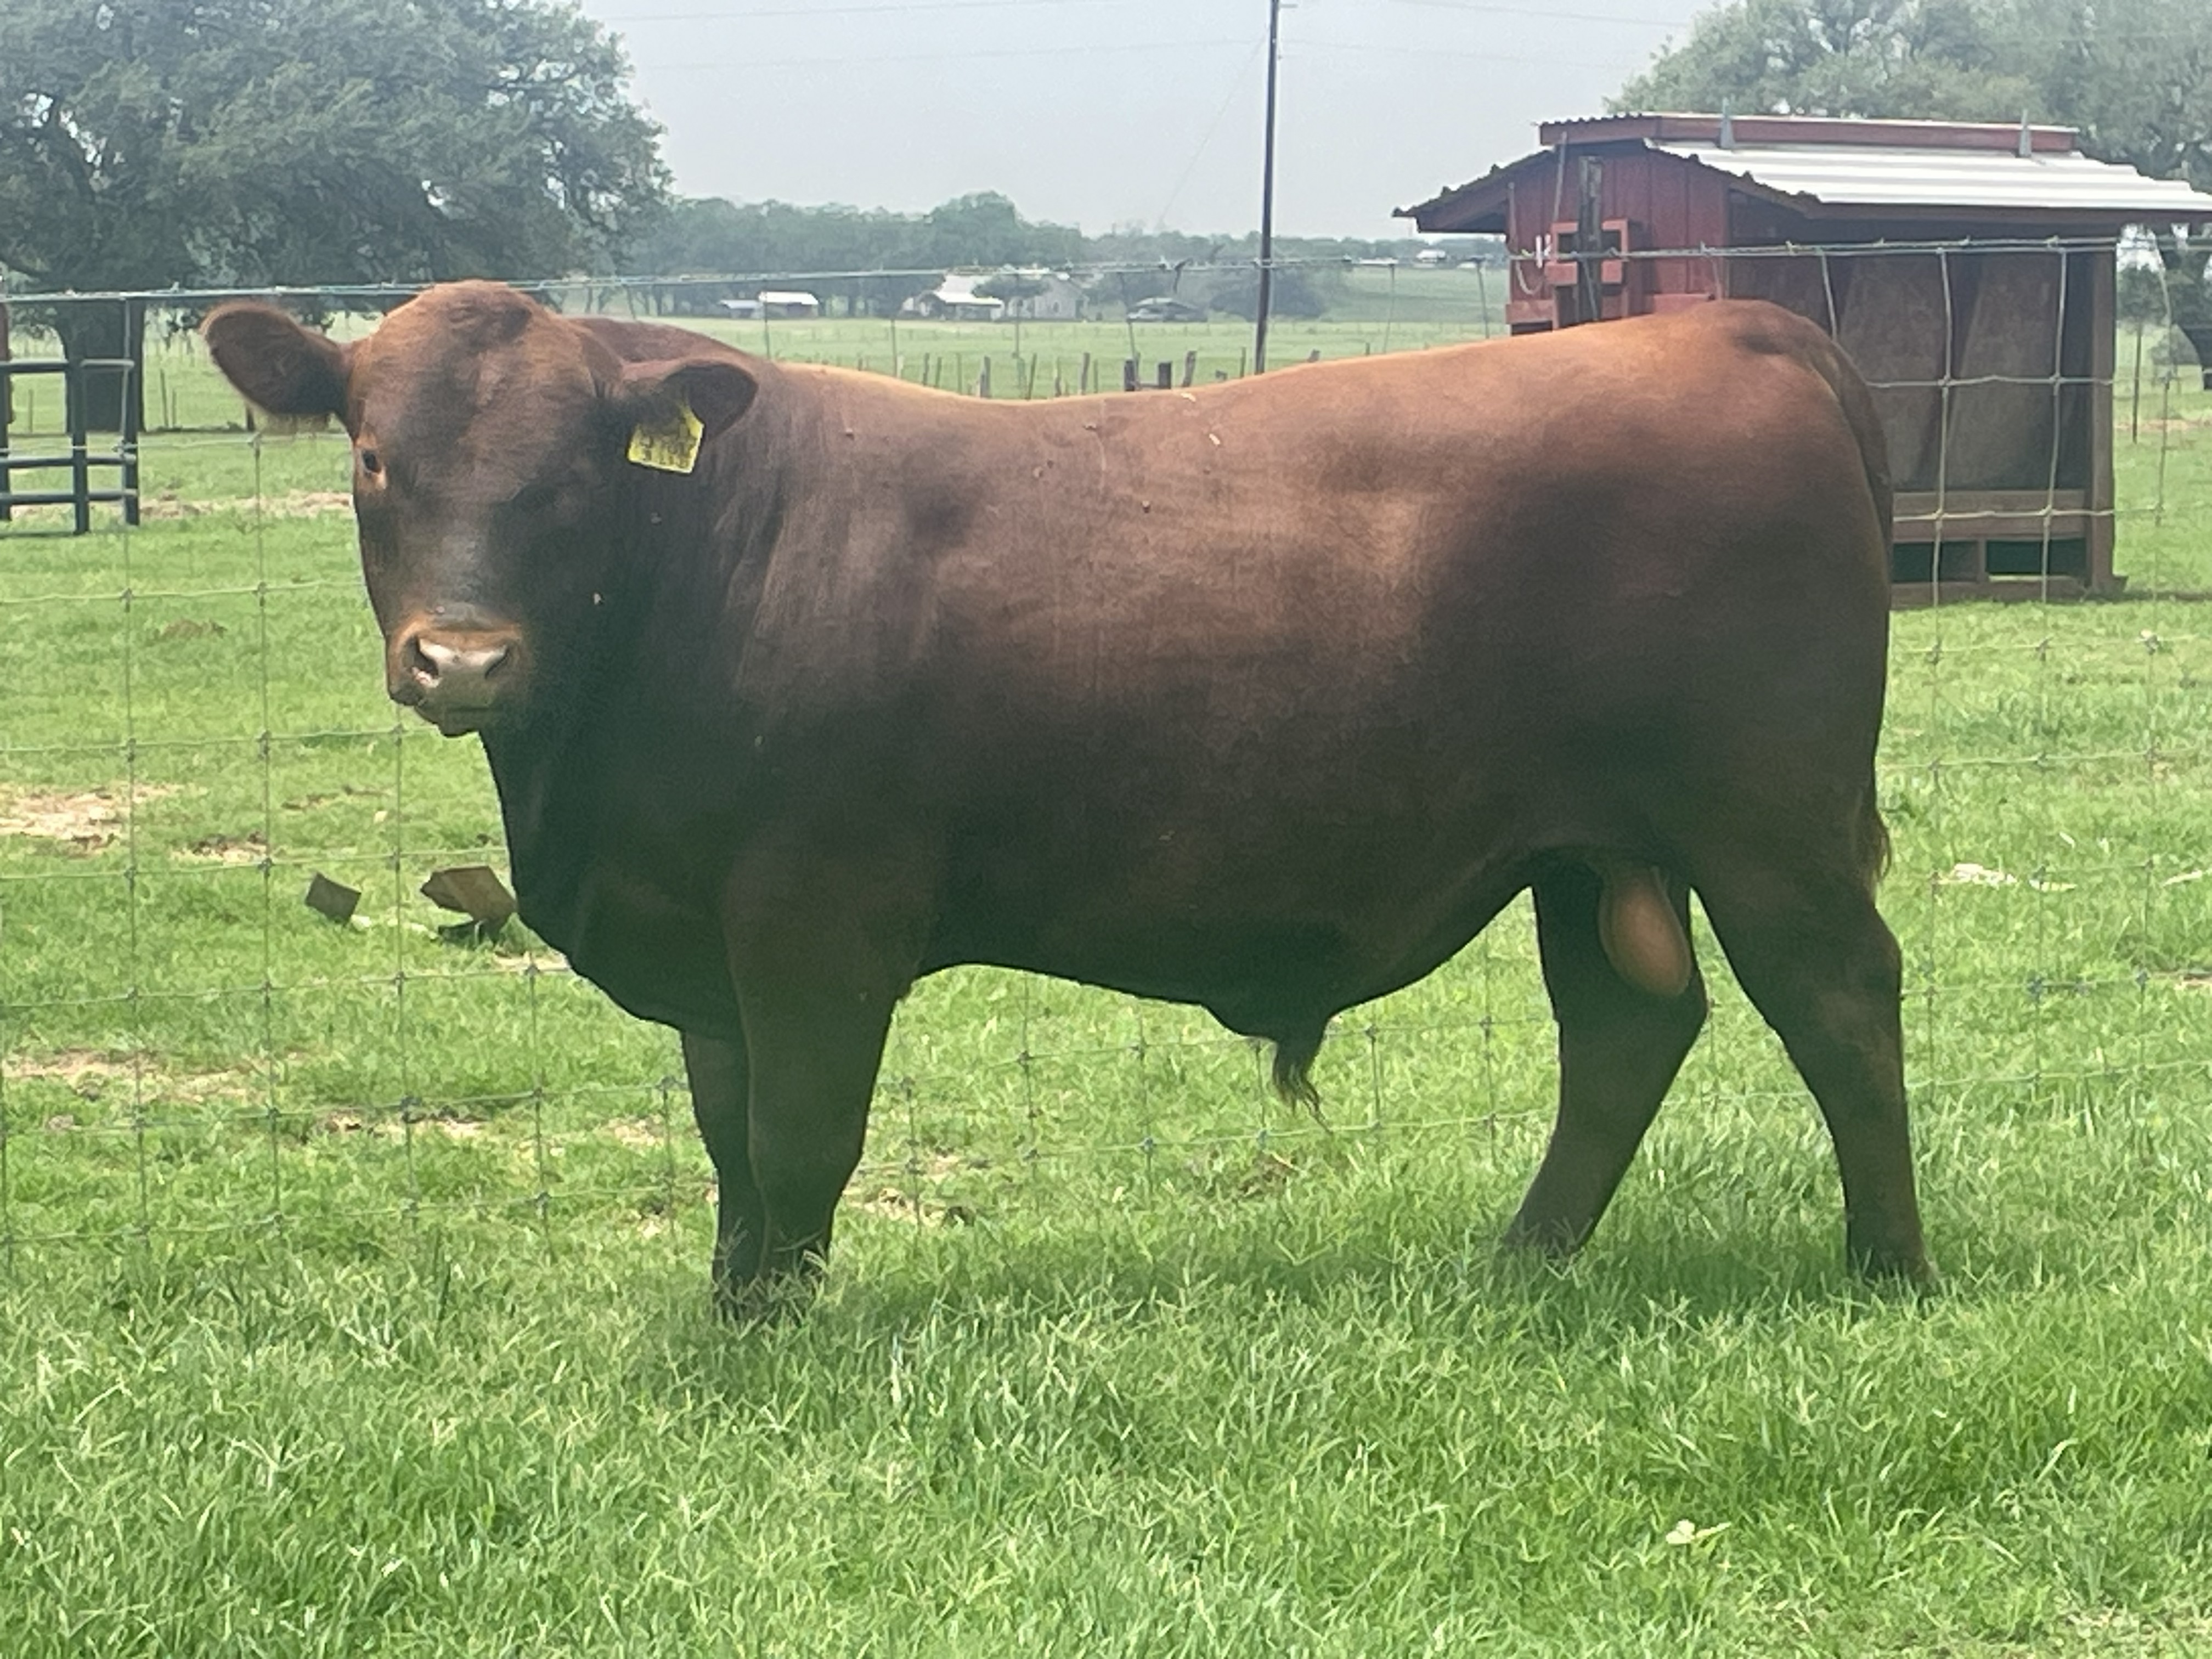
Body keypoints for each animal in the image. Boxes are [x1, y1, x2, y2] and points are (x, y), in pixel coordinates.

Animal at [203, 282, 1931, 1314]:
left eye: (574, 472)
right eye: (371, 458)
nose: (463, 657)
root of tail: (1726, 324)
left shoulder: (816, 914)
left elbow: (796, 1133)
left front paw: (786, 1337)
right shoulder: (705, 922)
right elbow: (724, 1136)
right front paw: (735, 1308)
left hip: (1767, 827)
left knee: (1841, 1005)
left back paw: (1887, 1271)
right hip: (1589, 848)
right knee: (1627, 1031)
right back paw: (1518, 1266)